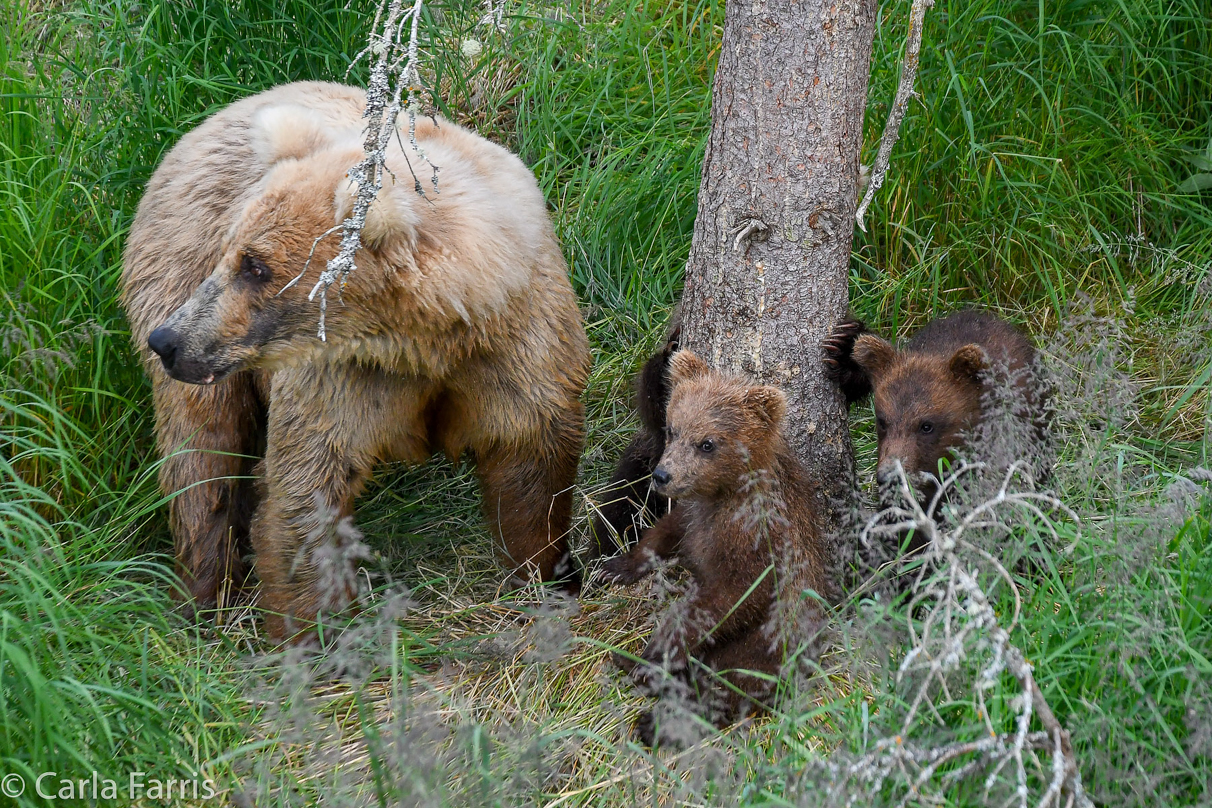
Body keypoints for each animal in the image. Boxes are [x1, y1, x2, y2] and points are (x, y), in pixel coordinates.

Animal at [123, 82, 591, 639]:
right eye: (233, 252)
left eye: (255, 266)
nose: (169, 340)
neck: (429, 338)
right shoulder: (341, 374)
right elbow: (305, 487)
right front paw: (311, 631)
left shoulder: (514, 347)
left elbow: (531, 461)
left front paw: (544, 573)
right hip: (176, 262)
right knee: (199, 457)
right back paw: (202, 593)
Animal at [598, 351, 829, 741]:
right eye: (673, 428)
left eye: (707, 443)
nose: (662, 475)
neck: (724, 494)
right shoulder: (694, 515)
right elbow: (664, 534)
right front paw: (615, 567)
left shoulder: (754, 539)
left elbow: (732, 596)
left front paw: (658, 650)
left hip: (768, 645)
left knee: (725, 686)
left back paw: (657, 716)